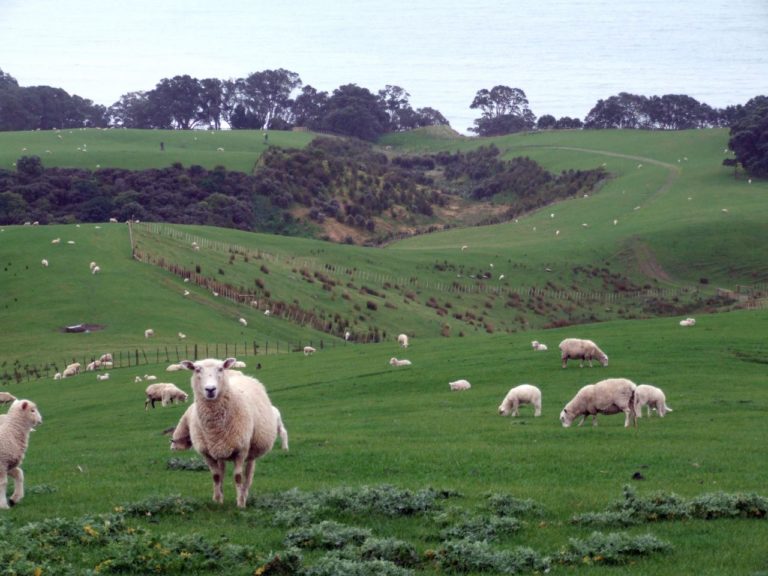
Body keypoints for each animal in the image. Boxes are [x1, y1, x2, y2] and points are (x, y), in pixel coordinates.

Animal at [170, 358, 278, 506]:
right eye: (197, 369)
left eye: (220, 369)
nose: (210, 389)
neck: (215, 428)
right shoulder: (207, 453)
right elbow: (216, 476)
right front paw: (218, 500)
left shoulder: (241, 450)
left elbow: (238, 477)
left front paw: (240, 502)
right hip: (219, 450)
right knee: (221, 471)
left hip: (251, 451)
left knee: (248, 475)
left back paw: (245, 493)